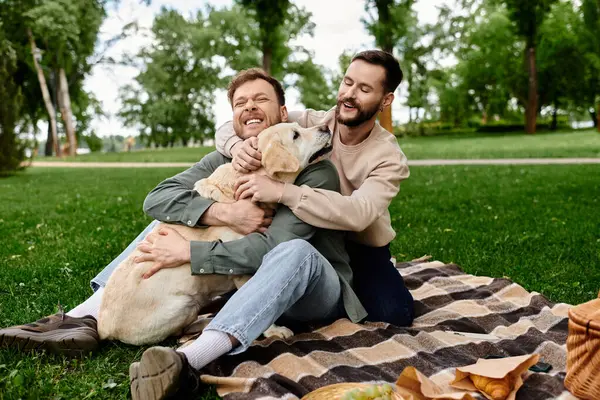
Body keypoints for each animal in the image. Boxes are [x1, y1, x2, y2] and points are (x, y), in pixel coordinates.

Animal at [96, 123, 336, 346]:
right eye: (295, 135)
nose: (326, 126)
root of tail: (103, 327)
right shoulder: (242, 270)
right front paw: (275, 331)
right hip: (183, 303)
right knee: (179, 332)